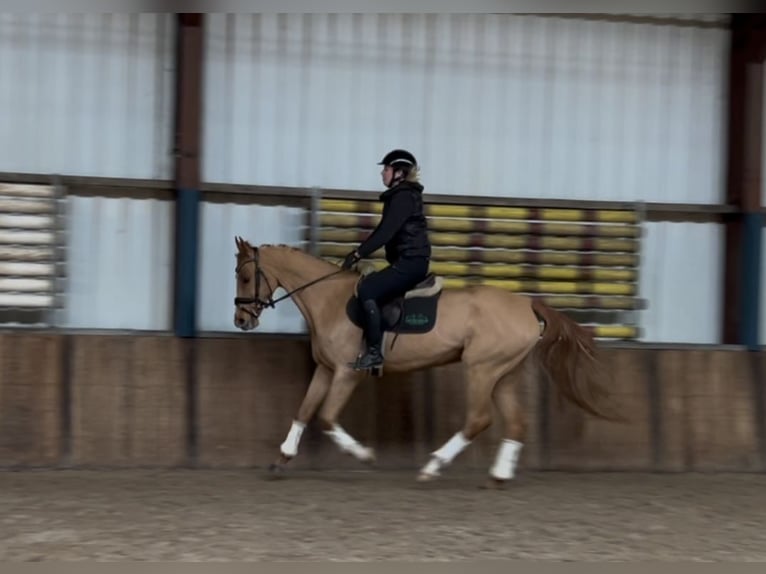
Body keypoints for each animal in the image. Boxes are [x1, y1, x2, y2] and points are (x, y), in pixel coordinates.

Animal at [234, 236, 624, 488]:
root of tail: (527, 304)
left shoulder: (346, 373)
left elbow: (327, 418)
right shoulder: (326, 370)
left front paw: (365, 456)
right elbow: (303, 410)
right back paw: (498, 475)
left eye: (245, 276)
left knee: (479, 419)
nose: (241, 320)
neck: (328, 299)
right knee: (516, 423)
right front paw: (282, 457)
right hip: (504, 374)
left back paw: (433, 467)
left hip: (481, 369)